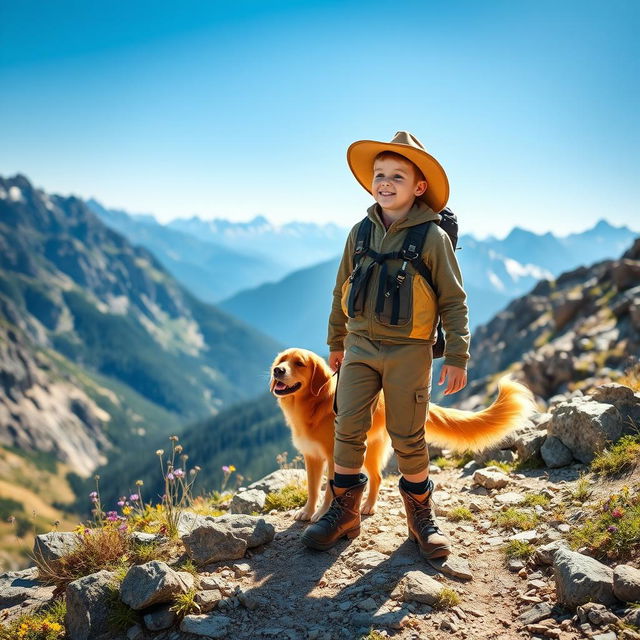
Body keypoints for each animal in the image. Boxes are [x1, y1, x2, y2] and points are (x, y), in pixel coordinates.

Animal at [270, 348, 536, 524]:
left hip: (367, 448)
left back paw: (368, 506)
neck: (315, 405)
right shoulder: (312, 457)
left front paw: (322, 513)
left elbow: (329, 489)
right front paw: (307, 511)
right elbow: (313, 488)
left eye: (299, 364)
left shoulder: (333, 456)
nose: (277, 370)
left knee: (376, 477)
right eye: (283, 360)